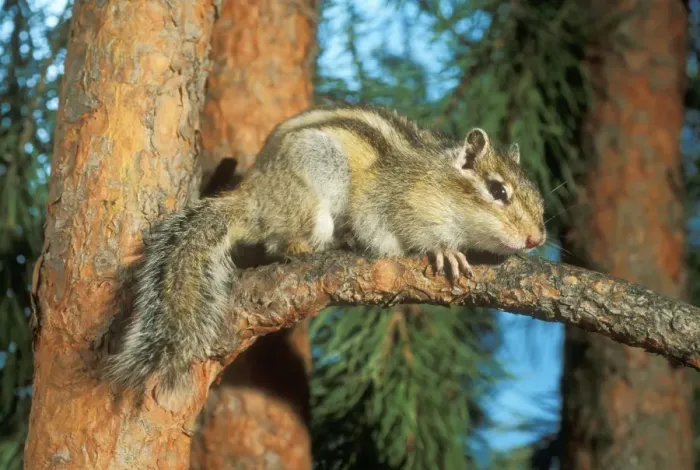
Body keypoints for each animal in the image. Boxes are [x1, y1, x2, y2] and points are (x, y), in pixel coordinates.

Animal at [104, 104, 546, 395]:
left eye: (538, 194)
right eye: (498, 191)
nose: (536, 239)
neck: (439, 182)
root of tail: (253, 194)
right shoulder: (387, 203)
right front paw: (445, 250)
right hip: (318, 178)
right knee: (285, 242)